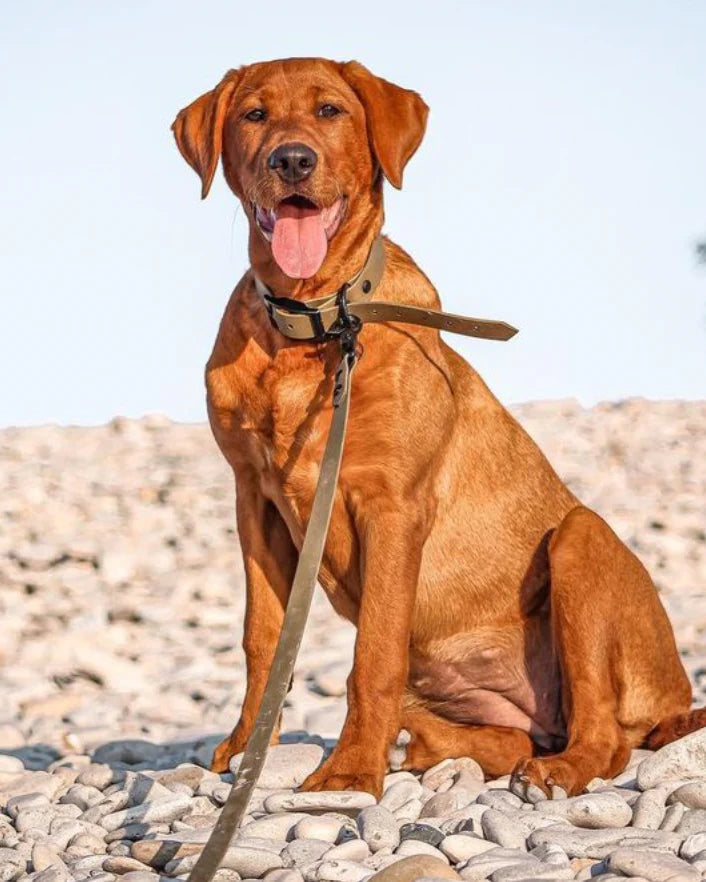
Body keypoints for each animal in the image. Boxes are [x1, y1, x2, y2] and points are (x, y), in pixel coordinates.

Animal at [172, 56, 704, 796]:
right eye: (254, 115)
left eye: (331, 110)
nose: (293, 159)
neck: (317, 323)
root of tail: (677, 700)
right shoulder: (254, 501)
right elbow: (262, 638)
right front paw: (248, 748)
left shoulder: (393, 506)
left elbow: (374, 653)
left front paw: (350, 772)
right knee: (511, 736)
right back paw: (436, 749)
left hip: (579, 539)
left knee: (603, 738)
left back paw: (554, 770)